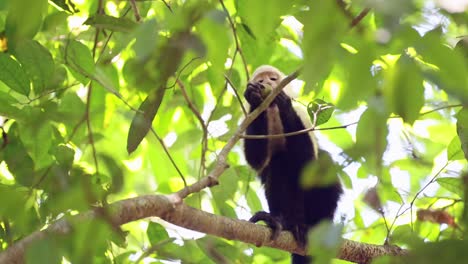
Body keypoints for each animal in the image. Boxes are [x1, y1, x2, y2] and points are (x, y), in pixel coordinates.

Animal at [245, 65, 340, 264]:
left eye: (273, 79)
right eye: (260, 80)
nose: (264, 84)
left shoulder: (302, 114)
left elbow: (307, 162)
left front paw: (284, 104)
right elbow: (257, 160)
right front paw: (254, 99)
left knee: (320, 163)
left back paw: (311, 226)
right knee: (278, 165)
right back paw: (283, 222)